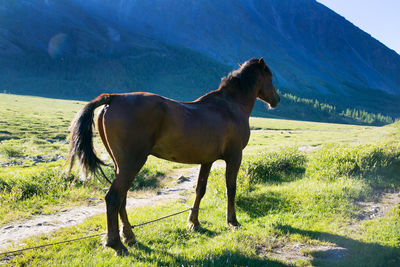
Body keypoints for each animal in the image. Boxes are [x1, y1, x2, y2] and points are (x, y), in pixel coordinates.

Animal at [69, 57, 280, 255]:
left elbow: (200, 189)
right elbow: (231, 188)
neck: (230, 106)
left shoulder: (207, 160)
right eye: (269, 77)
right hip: (132, 164)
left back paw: (129, 236)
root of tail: (113, 98)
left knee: (122, 198)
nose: (277, 99)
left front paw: (194, 223)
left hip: (120, 166)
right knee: (113, 198)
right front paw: (233, 221)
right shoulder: (235, 156)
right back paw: (116, 244)